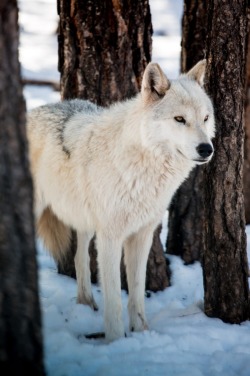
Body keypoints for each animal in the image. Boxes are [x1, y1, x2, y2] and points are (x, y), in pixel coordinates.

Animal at [26, 60, 215, 342]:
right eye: (180, 119)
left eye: (205, 118)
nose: (207, 149)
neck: (142, 164)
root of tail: (30, 112)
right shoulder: (111, 237)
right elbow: (114, 298)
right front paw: (115, 340)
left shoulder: (142, 234)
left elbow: (136, 293)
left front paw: (142, 333)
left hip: (85, 222)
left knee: (80, 258)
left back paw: (86, 303)